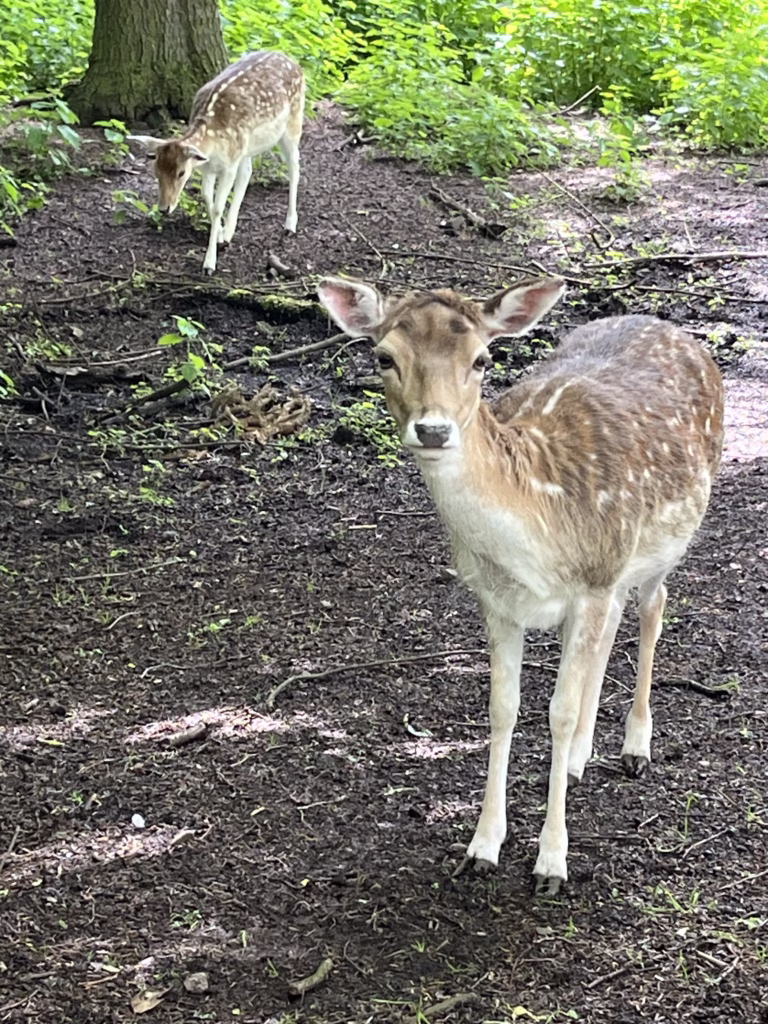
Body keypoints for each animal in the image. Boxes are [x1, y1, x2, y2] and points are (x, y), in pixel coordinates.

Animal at [128, 51, 305, 274]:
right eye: (156, 172)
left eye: (181, 173)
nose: (163, 208)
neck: (212, 140)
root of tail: (292, 60)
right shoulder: (209, 166)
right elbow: (208, 200)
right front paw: (221, 235)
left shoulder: (228, 165)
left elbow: (218, 206)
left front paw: (209, 264)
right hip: (246, 147)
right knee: (247, 172)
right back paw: (229, 232)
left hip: (293, 122)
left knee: (294, 167)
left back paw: (290, 225)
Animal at [317, 275, 724, 896]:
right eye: (384, 356)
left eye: (482, 359)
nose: (433, 429)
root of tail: (673, 328)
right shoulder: (497, 599)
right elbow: (502, 707)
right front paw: (482, 847)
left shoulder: (592, 581)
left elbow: (556, 712)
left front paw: (551, 863)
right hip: (615, 571)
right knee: (614, 624)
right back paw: (580, 758)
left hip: (663, 542)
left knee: (653, 608)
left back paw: (635, 746)